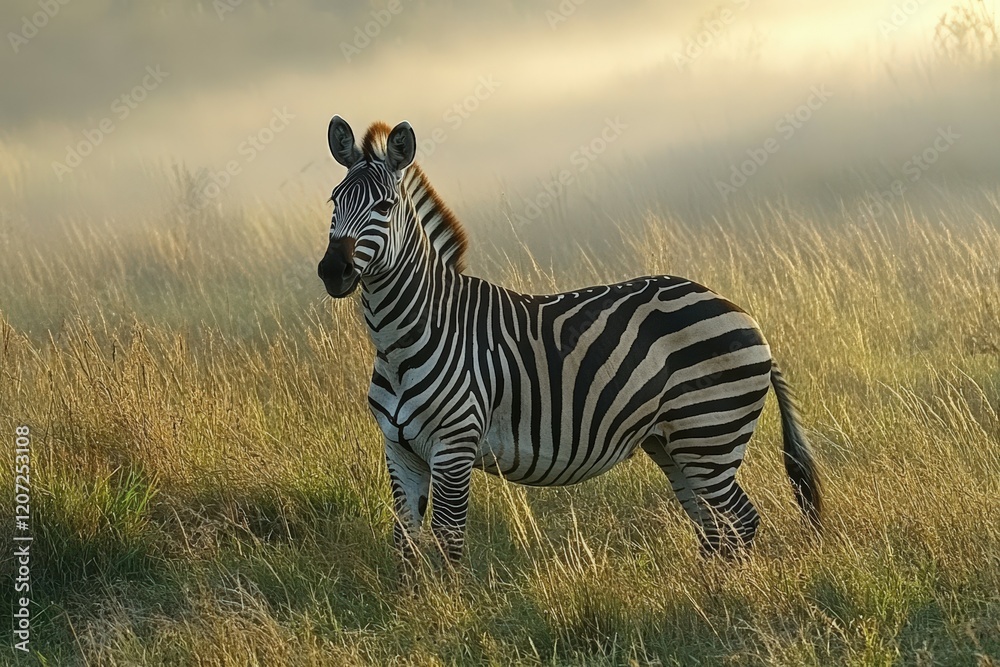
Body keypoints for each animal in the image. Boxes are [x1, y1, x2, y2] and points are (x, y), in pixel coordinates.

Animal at [317, 116, 822, 564]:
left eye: (384, 206)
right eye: (333, 201)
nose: (332, 271)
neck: (406, 338)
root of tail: (741, 311)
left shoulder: (454, 445)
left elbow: (447, 546)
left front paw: (449, 610)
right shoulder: (399, 451)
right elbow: (404, 548)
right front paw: (417, 607)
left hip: (709, 434)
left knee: (741, 521)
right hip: (673, 443)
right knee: (715, 530)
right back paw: (709, 592)